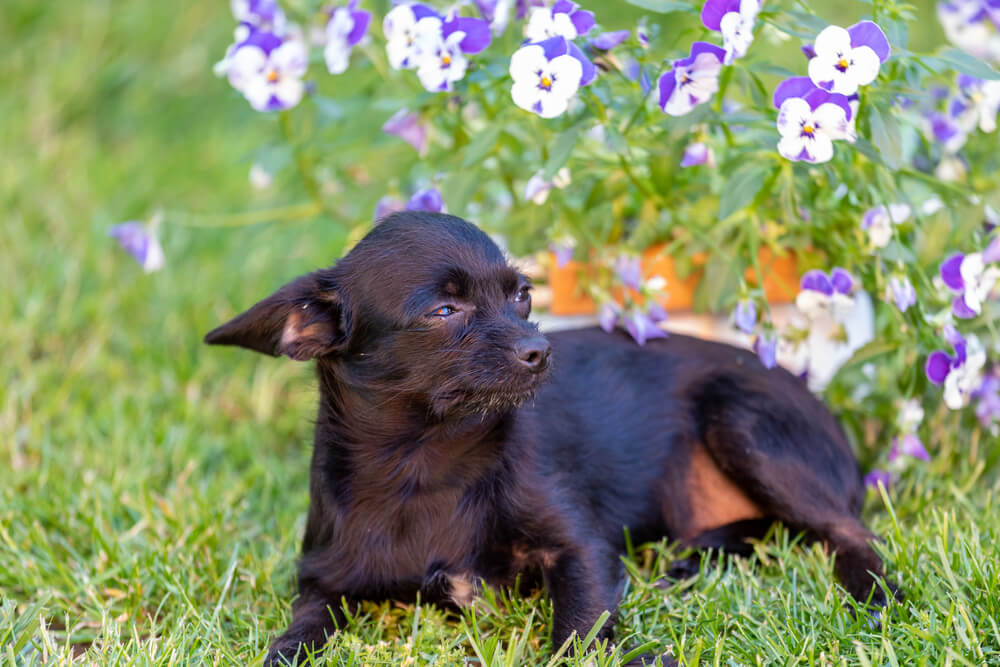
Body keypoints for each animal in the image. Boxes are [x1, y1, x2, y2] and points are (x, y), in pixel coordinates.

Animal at [207, 213, 896, 664]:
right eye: (443, 312)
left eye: (523, 296)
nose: (540, 350)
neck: (426, 464)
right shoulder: (324, 583)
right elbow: (294, 637)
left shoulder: (580, 549)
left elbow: (579, 637)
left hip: (740, 419)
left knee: (848, 530)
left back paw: (872, 598)